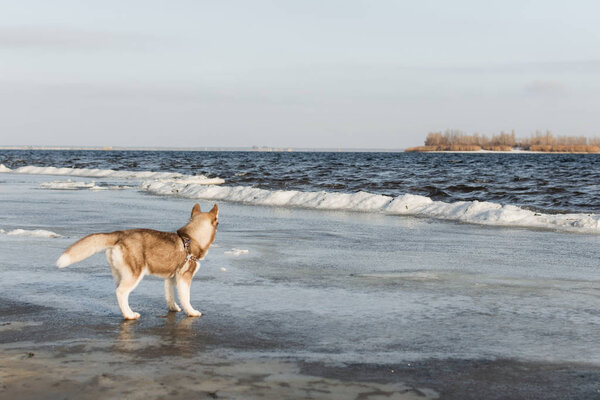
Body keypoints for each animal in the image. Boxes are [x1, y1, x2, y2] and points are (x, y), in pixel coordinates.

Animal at [56, 203, 218, 318]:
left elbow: (170, 295)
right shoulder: (185, 277)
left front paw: (173, 308)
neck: (190, 239)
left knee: (120, 292)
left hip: (121, 274)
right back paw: (129, 315)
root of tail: (120, 234)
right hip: (135, 274)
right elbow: (186, 298)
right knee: (121, 292)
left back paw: (126, 311)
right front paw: (191, 312)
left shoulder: (170, 277)